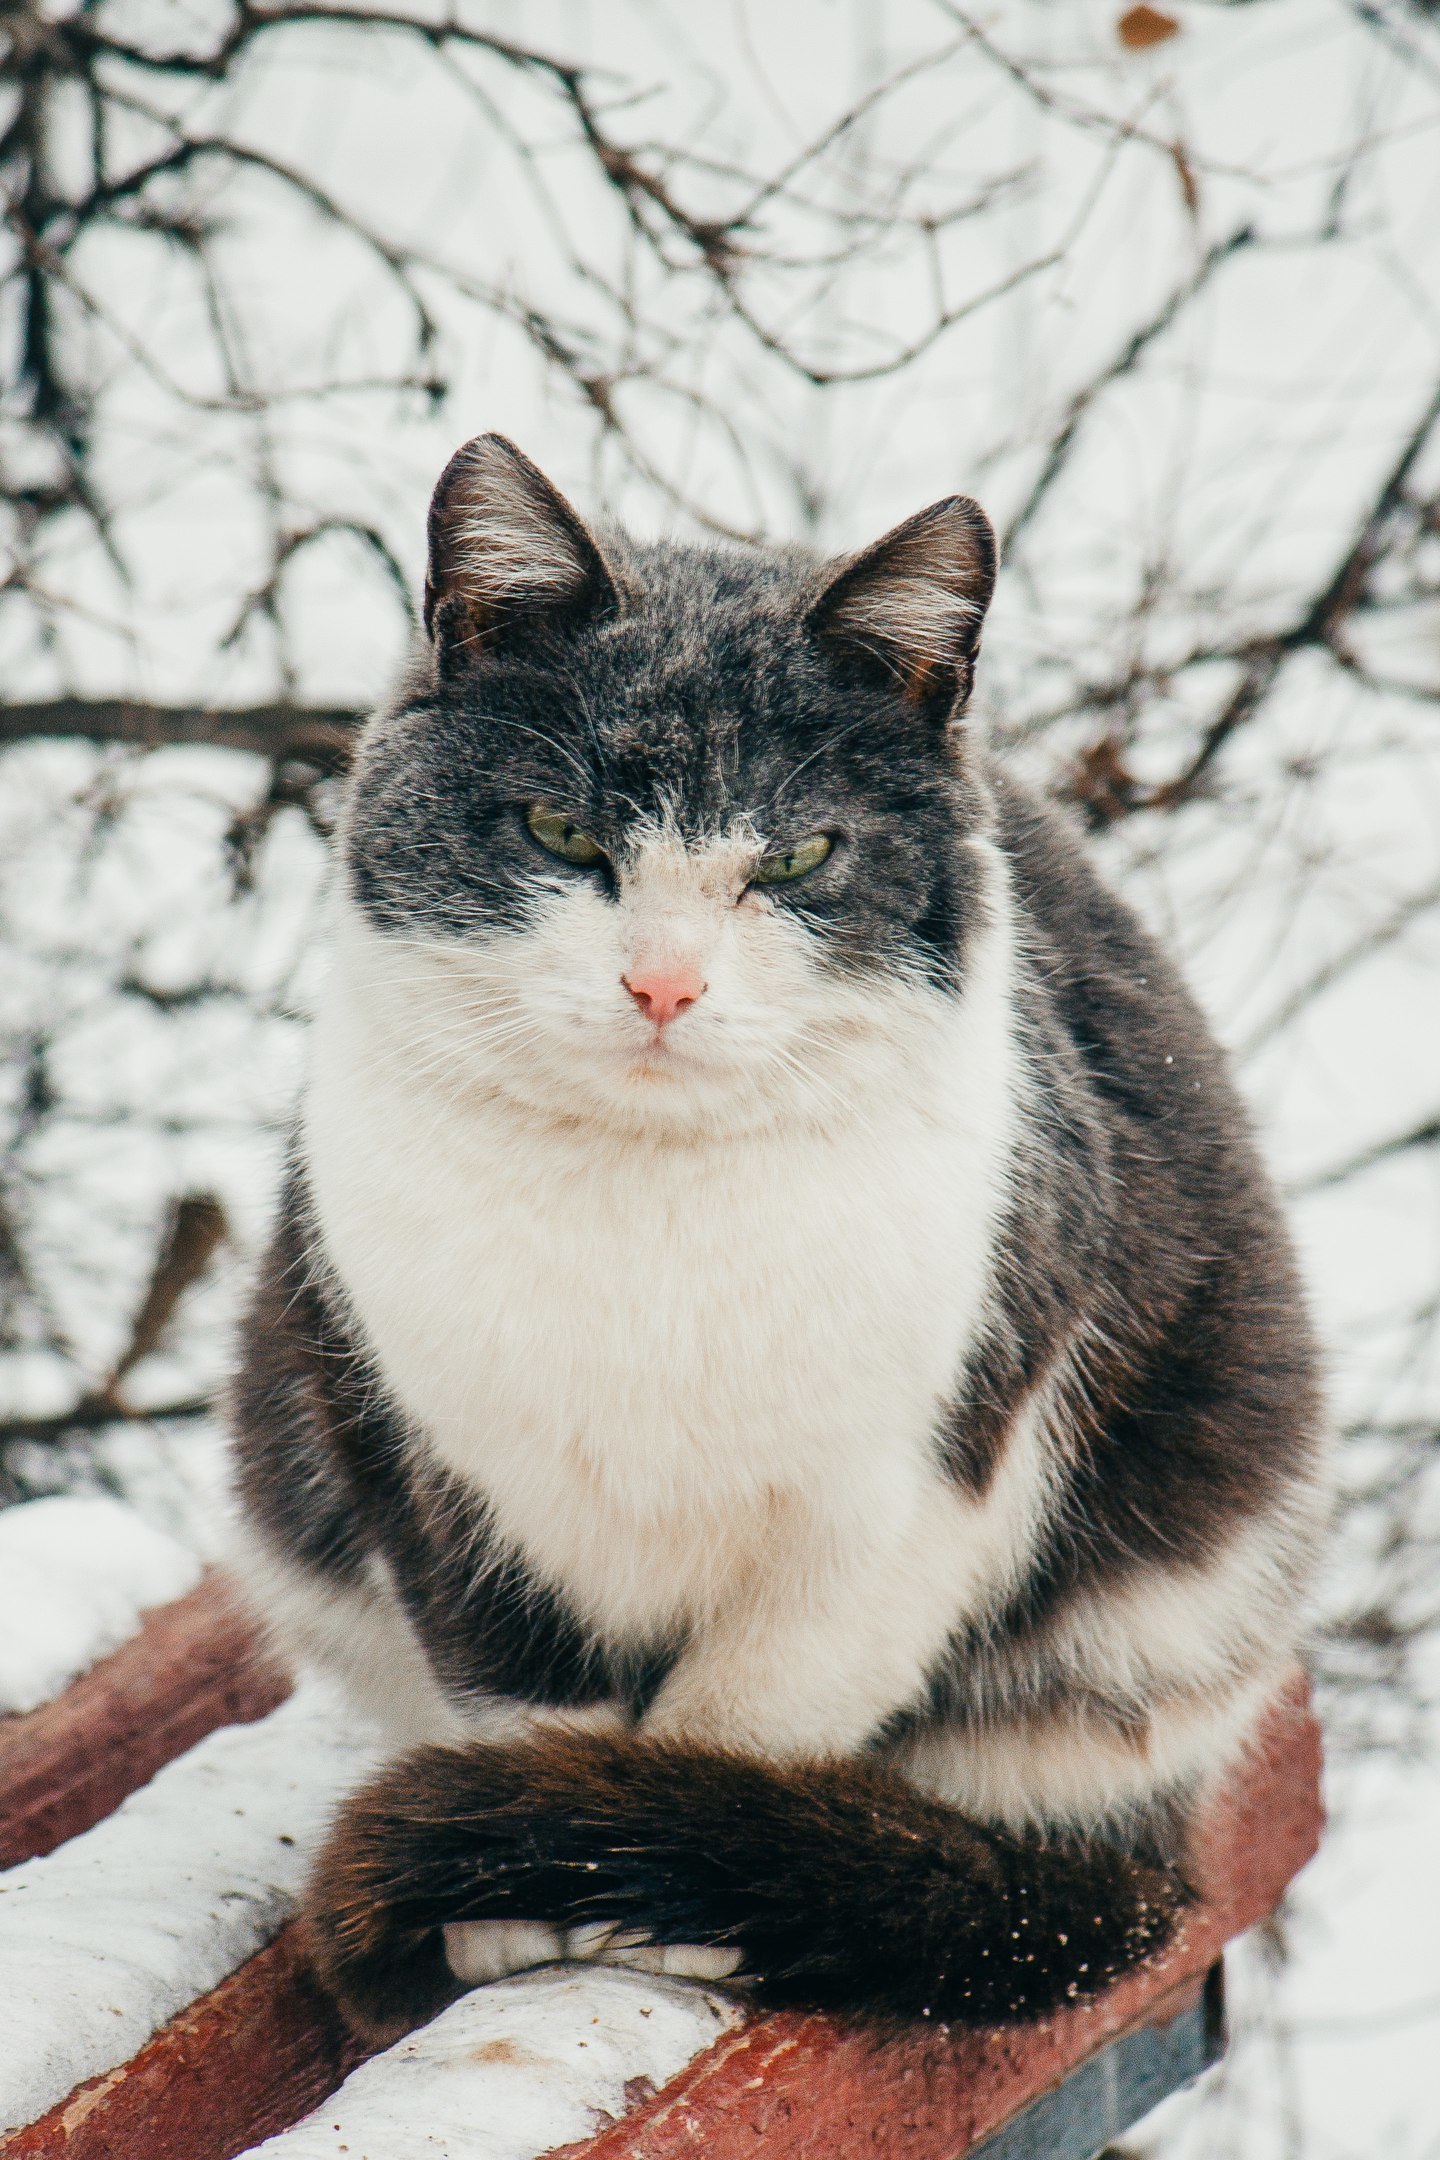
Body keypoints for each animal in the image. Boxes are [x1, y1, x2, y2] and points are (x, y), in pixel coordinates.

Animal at [227, 434, 1329, 2039]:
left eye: (801, 856)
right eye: (562, 831)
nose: (664, 986)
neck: (652, 1203)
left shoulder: (921, 1483)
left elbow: (740, 1726)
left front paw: (657, 1872)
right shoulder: (416, 1444)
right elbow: (523, 1689)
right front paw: (527, 1899)